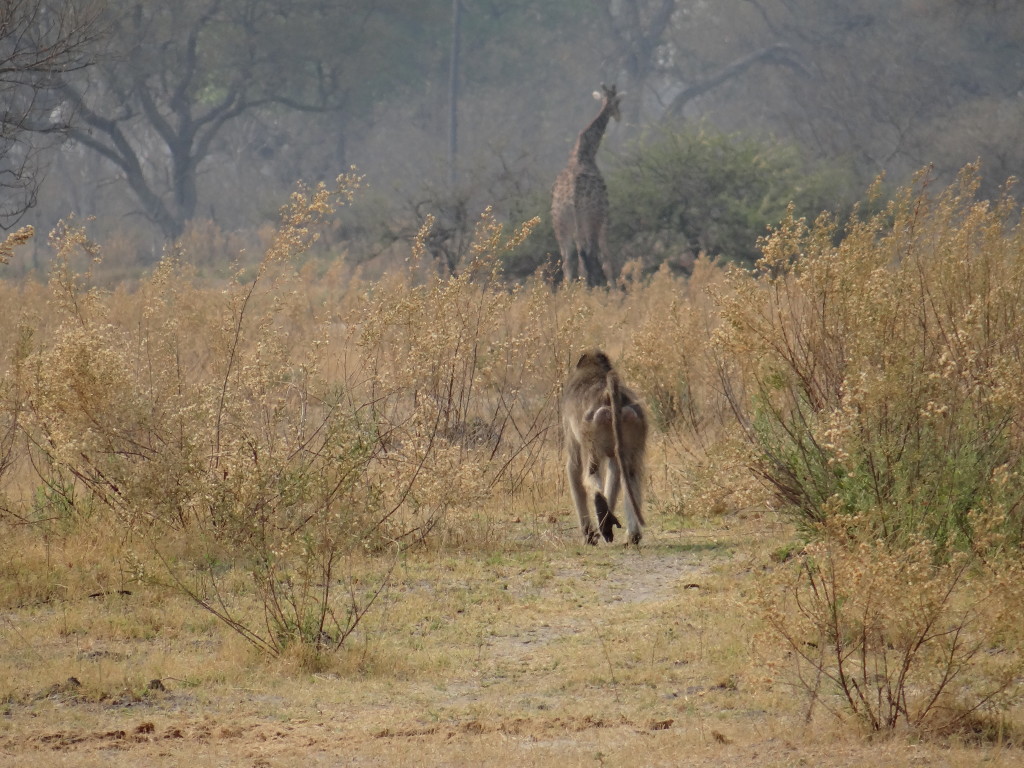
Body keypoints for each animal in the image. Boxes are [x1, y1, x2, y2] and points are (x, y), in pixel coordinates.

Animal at [551, 83, 622, 287]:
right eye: (617, 103)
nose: (618, 116)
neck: (584, 154)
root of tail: (571, 202)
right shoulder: (605, 216)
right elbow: (605, 260)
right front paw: (614, 290)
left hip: (561, 227)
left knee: (568, 263)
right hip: (588, 224)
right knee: (587, 262)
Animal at [562, 350, 647, 545]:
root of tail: (609, 393)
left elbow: (573, 466)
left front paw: (588, 534)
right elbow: (615, 469)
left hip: (592, 426)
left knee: (590, 472)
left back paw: (601, 511)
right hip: (634, 419)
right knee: (630, 474)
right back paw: (632, 535)